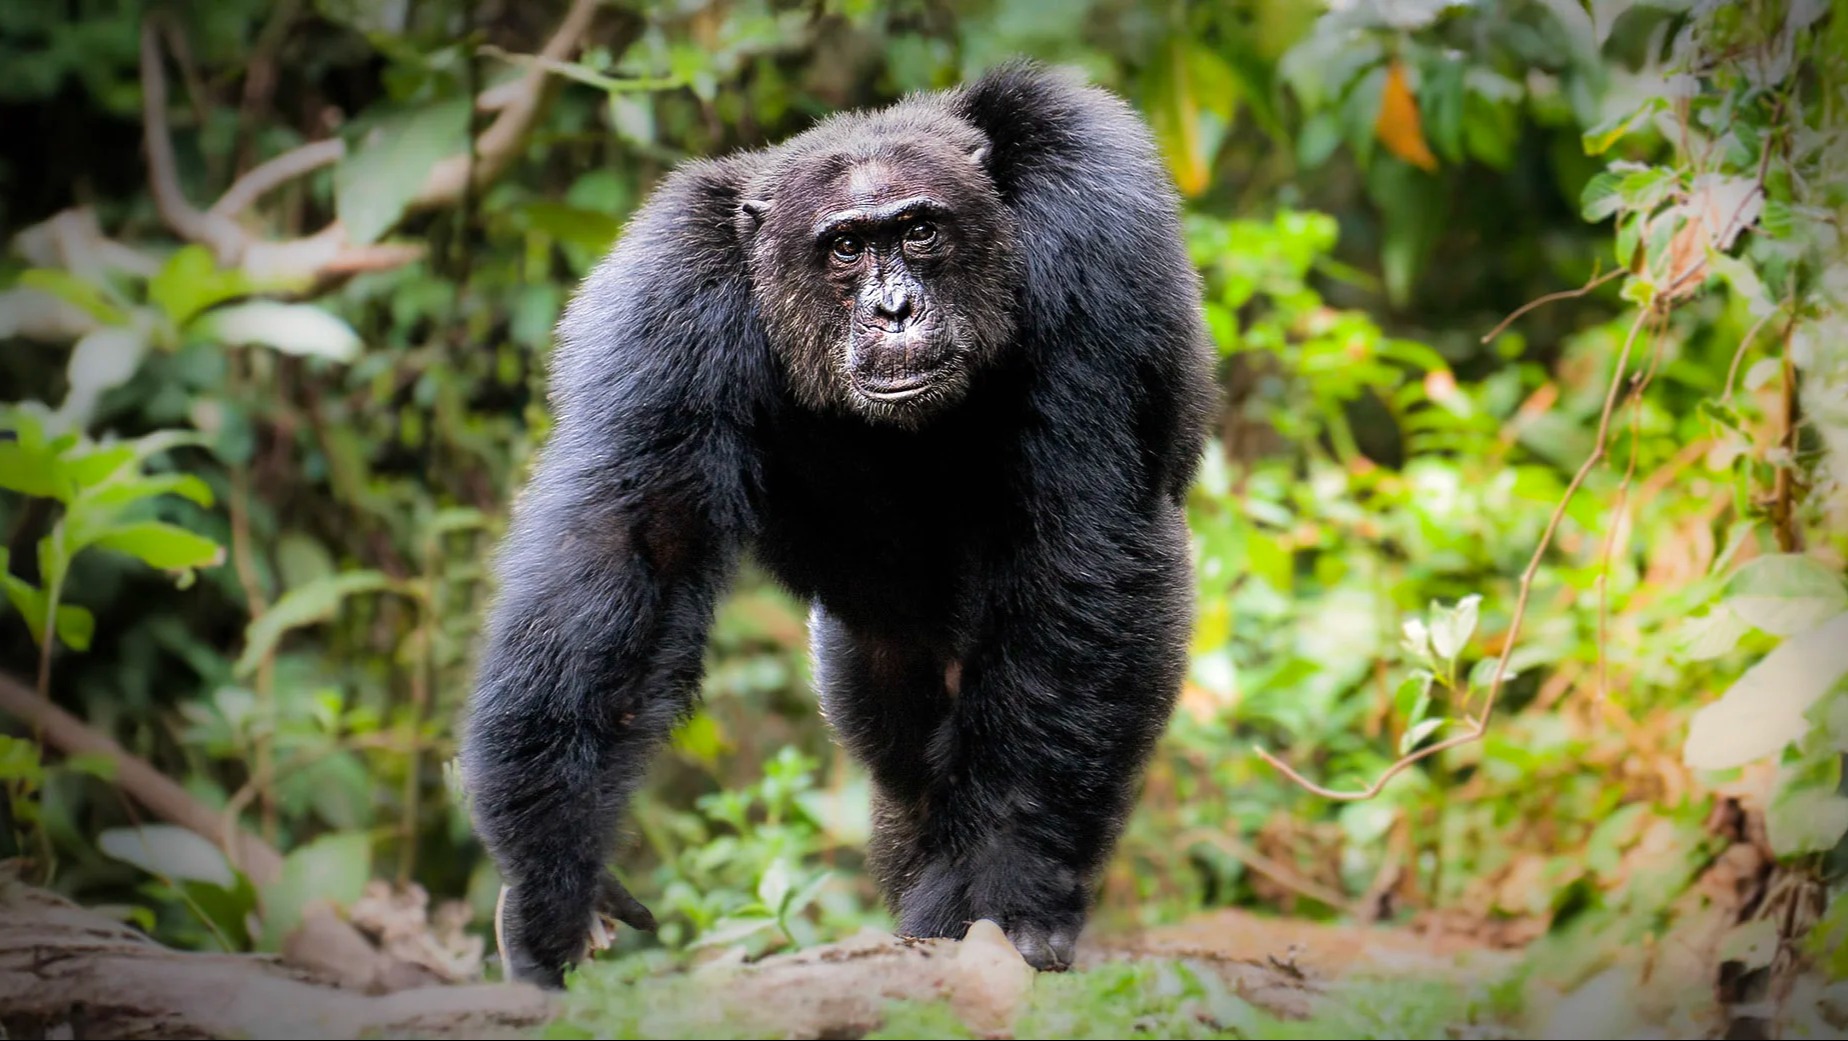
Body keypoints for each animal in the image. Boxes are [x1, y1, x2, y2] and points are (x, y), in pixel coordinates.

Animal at [459, 59, 1215, 989]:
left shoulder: (1095, 218)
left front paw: (1009, 890)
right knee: (905, 768)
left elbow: (1077, 533)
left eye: (920, 230)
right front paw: (551, 884)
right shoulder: (668, 298)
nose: (894, 309)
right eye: (846, 247)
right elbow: (633, 541)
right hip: (860, 667)